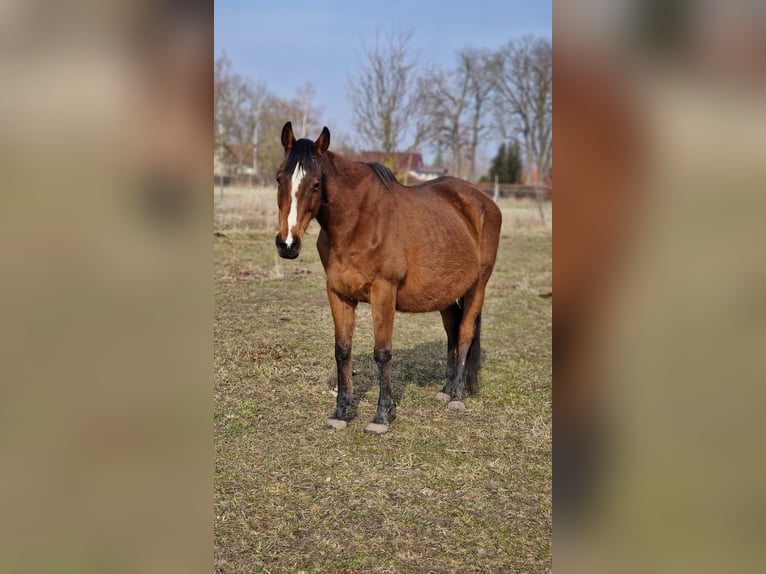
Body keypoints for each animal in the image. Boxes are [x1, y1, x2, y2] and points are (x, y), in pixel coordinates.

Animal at [275, 121, 502, 435]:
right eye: (279, 179)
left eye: (317, 184)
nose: (287, 244)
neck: (357, 222)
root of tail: (482, 201)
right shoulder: (338, 293)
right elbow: (342, 351)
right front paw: (341, 412)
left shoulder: (384, 292)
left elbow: (382, 352)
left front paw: (382, 415)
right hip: (445, 293)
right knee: (452, 332)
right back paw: (445, 390)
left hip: (478, 285)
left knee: (466, 332)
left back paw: (456, 396)